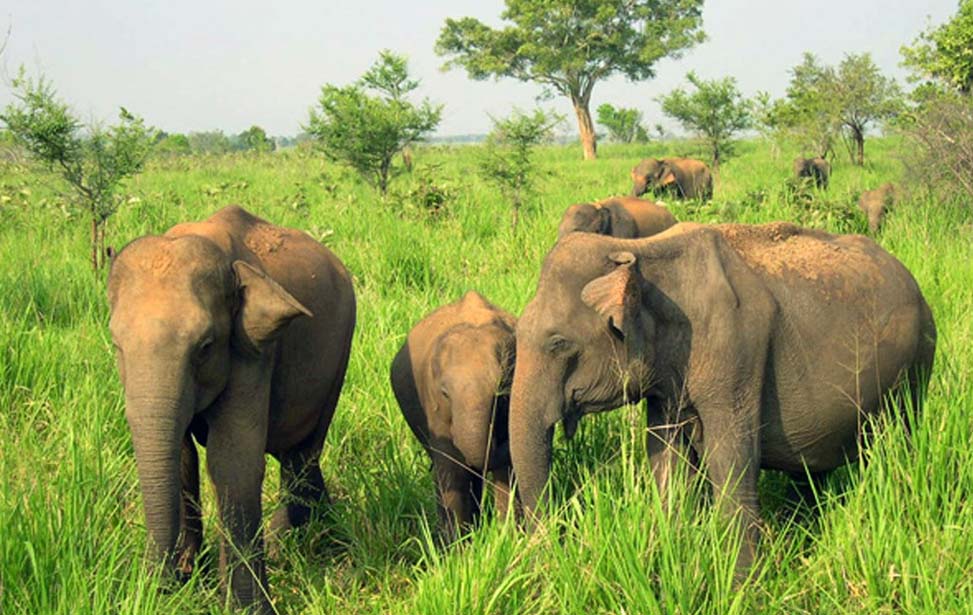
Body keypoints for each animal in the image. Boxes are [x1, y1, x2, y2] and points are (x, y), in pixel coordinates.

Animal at [107, 207, 356, 615]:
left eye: (205, 346)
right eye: (116, 345)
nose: (157, 588)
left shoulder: (253, 350)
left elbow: (232, 462)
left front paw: (244, 607)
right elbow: (182, 458)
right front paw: (188, 580)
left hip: (340, 353)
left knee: (303, 450)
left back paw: (289, 539)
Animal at [392, 292, 520, 540]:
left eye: (501, 393)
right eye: (445, 393)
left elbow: (507, 472)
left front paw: (510, 540)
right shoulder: (434, 408)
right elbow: (451, 469)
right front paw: (457, 546)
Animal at [508, 221, 936, 572]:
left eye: (558, 343)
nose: (552, 552)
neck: (640, 250)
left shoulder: (735, 351)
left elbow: (730, 458)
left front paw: (740, 585)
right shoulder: (669, 373)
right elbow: (667, 458)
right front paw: (676, 555)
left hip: (915, 366)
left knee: (898, 445)